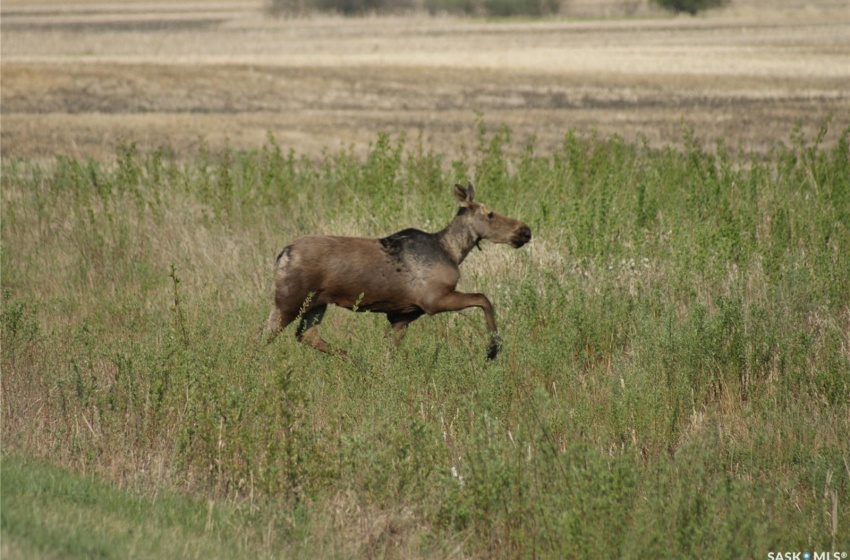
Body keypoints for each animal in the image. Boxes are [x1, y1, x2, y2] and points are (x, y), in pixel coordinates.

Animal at [264, 184, 528, 358]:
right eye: (490, 214)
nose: (525, 230)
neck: (453, 252)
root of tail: (283, 254)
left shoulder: (402, 315)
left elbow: (388, 352)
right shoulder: (433, 300)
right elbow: (484, 299)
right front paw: (493, 349)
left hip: (317, 303)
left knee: (306, 335)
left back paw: (355, 360)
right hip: (290, 300)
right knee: (264, 335)